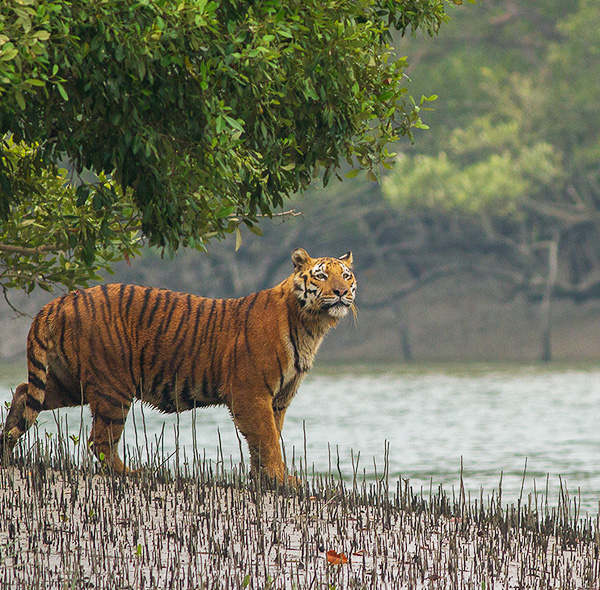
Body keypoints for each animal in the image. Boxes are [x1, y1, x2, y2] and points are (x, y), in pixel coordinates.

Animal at [0, 247, 356, 484]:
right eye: (322, 275)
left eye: (345, 275)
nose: (341, 292)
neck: (311, 325)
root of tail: (59, 300)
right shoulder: (251, 394)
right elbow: (267, 439)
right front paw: (281, 480)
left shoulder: (278, 399)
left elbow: (266, 438)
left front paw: (263, 479)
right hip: (112, 385)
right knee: (99, 439)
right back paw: (131, 473)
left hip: (70, 382)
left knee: (23, 391)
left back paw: (6, 444)